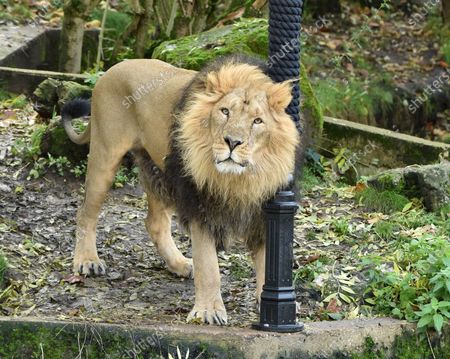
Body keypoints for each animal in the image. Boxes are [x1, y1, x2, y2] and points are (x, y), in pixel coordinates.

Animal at [59, 55, 298, 326]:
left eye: (257, 121)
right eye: (225, 111)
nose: (232, 142)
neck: (240, 180)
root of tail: (113, 68)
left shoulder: (264, 210)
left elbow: (268, 260)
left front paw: (271, 308)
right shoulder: (200, 206)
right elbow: (209, 266)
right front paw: (208, 312)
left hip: (158, 171)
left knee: (155, 222)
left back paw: (180, 264)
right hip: (106, 154)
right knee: (85, 212)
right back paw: (87, 261)